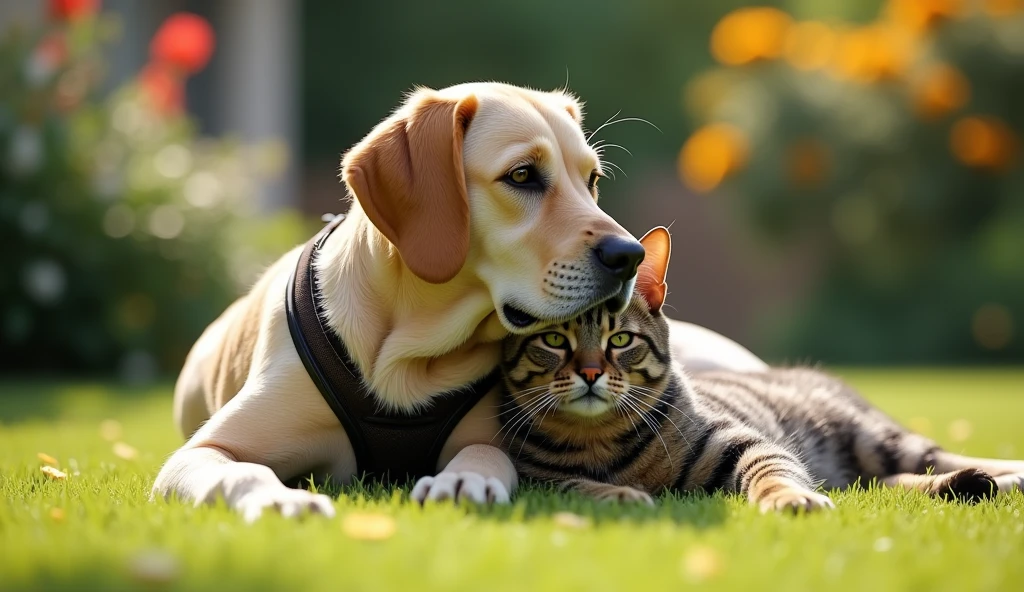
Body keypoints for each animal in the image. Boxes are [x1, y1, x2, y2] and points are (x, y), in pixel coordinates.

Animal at [149, 80, 761, 518]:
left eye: (592, 180)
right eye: (523, 175)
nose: (630, 255)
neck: (405, 353)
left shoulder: (501, 439)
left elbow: (485, 454)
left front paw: (466, 479)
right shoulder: (200, 453)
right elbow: (242, 470)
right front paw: (279, 497)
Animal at [497, 228, 1024, 510]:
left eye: (620, 340)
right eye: (553, 340)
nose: (590, 374)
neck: (601, 440)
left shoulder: (740, 440)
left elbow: (773, 471)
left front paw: (792, 499)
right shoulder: (534, 478)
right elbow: (573, 485)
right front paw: (618, 495)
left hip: (873, 437)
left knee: (932, 456)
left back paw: (1003, 475)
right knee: (890, 482)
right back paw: (970, 484)